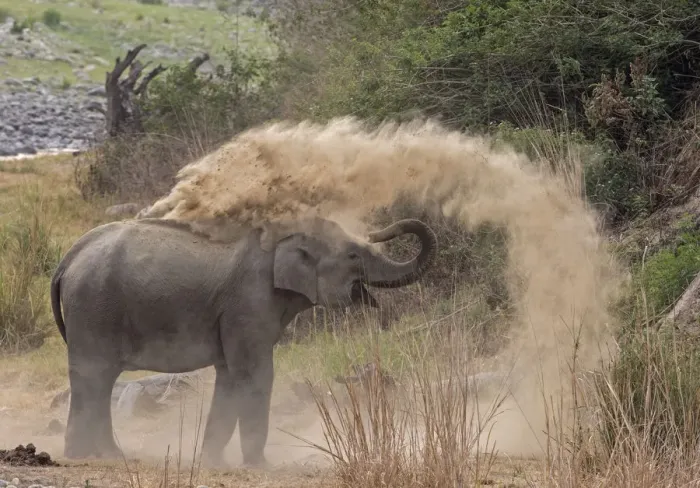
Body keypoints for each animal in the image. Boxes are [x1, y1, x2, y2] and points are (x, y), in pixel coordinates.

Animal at [50, 215, 437, 468]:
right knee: (94, 378)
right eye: (353, 255)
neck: (286, 236)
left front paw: (212, 462)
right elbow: (254, 374)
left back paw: (101, 455)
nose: (380, 229)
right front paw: (259, 465)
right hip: (94, 308)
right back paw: (90, 456)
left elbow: (229, 376)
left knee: (97, 381)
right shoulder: (249, 301)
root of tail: (69, 256)